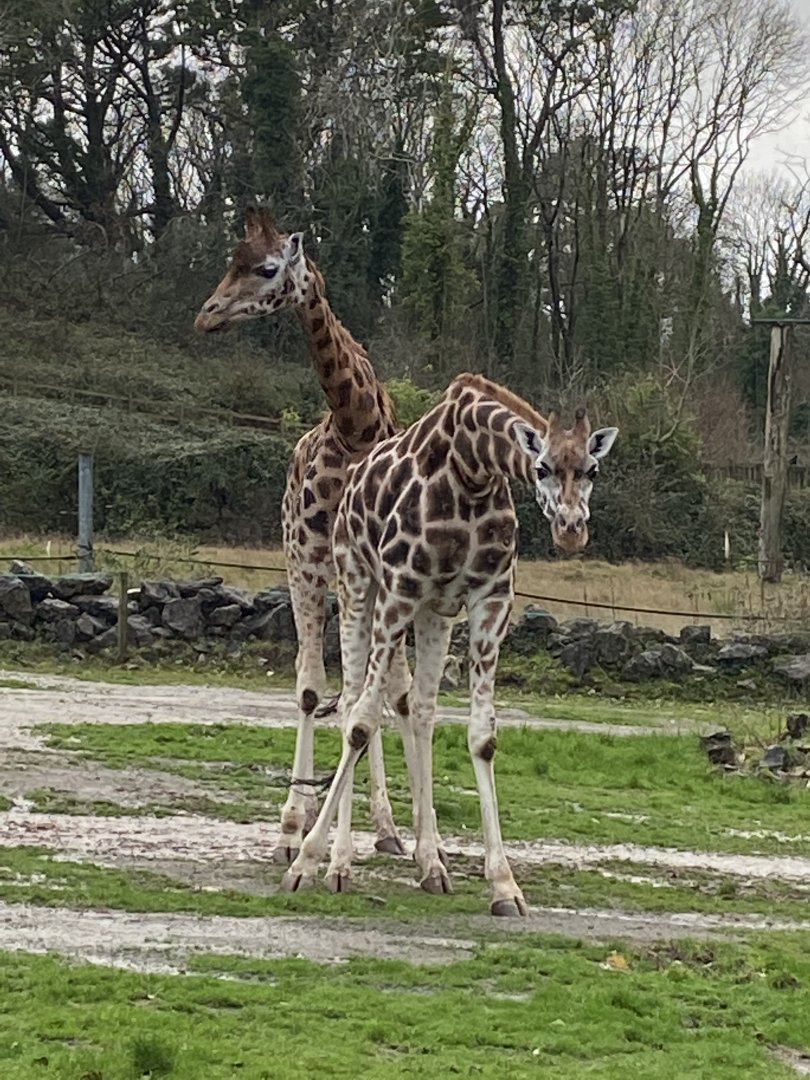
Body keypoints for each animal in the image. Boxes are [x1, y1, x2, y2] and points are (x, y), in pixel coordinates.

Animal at [194, 207, 411, 863]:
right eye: (230, 261)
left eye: (267, 268)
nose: (206, 314)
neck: (354, 424)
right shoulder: (305, 563)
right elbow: (314, 690)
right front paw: (294, 826)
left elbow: (373, 695)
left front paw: (374, 828)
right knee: (327, 685)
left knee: (377, 690)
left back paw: (386, 828)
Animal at [281, 373, 617, 914]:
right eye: (542, 466)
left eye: (592, 468)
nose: (571, 529)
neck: (472, 467)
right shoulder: (398, 590)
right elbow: (360, 724)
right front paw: (309, 863)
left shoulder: (488, 600)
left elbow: (482, 736)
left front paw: (502, 884)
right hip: (353, 581)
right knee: (352, 701)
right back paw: (336, 860)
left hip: (431, 613)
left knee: (417, 708)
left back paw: (428, 860)